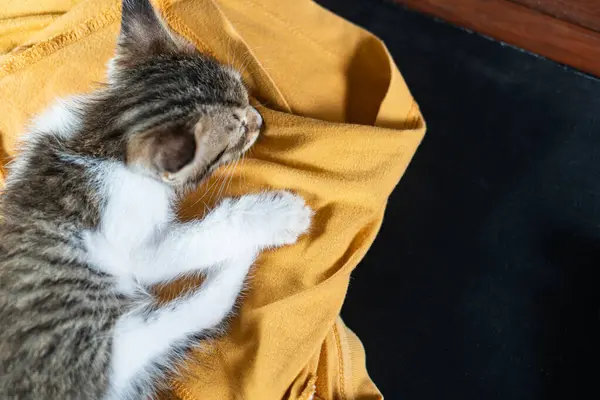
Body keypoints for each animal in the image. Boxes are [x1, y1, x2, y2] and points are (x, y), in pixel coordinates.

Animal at [0, 0, 312, 400]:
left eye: (244, 94)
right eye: (237, 133)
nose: (259, 120)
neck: (101, 138)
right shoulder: (135, 244)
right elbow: (198, 238)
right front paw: (274, 217)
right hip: (98, 344)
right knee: (194, 313)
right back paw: (245, 256)